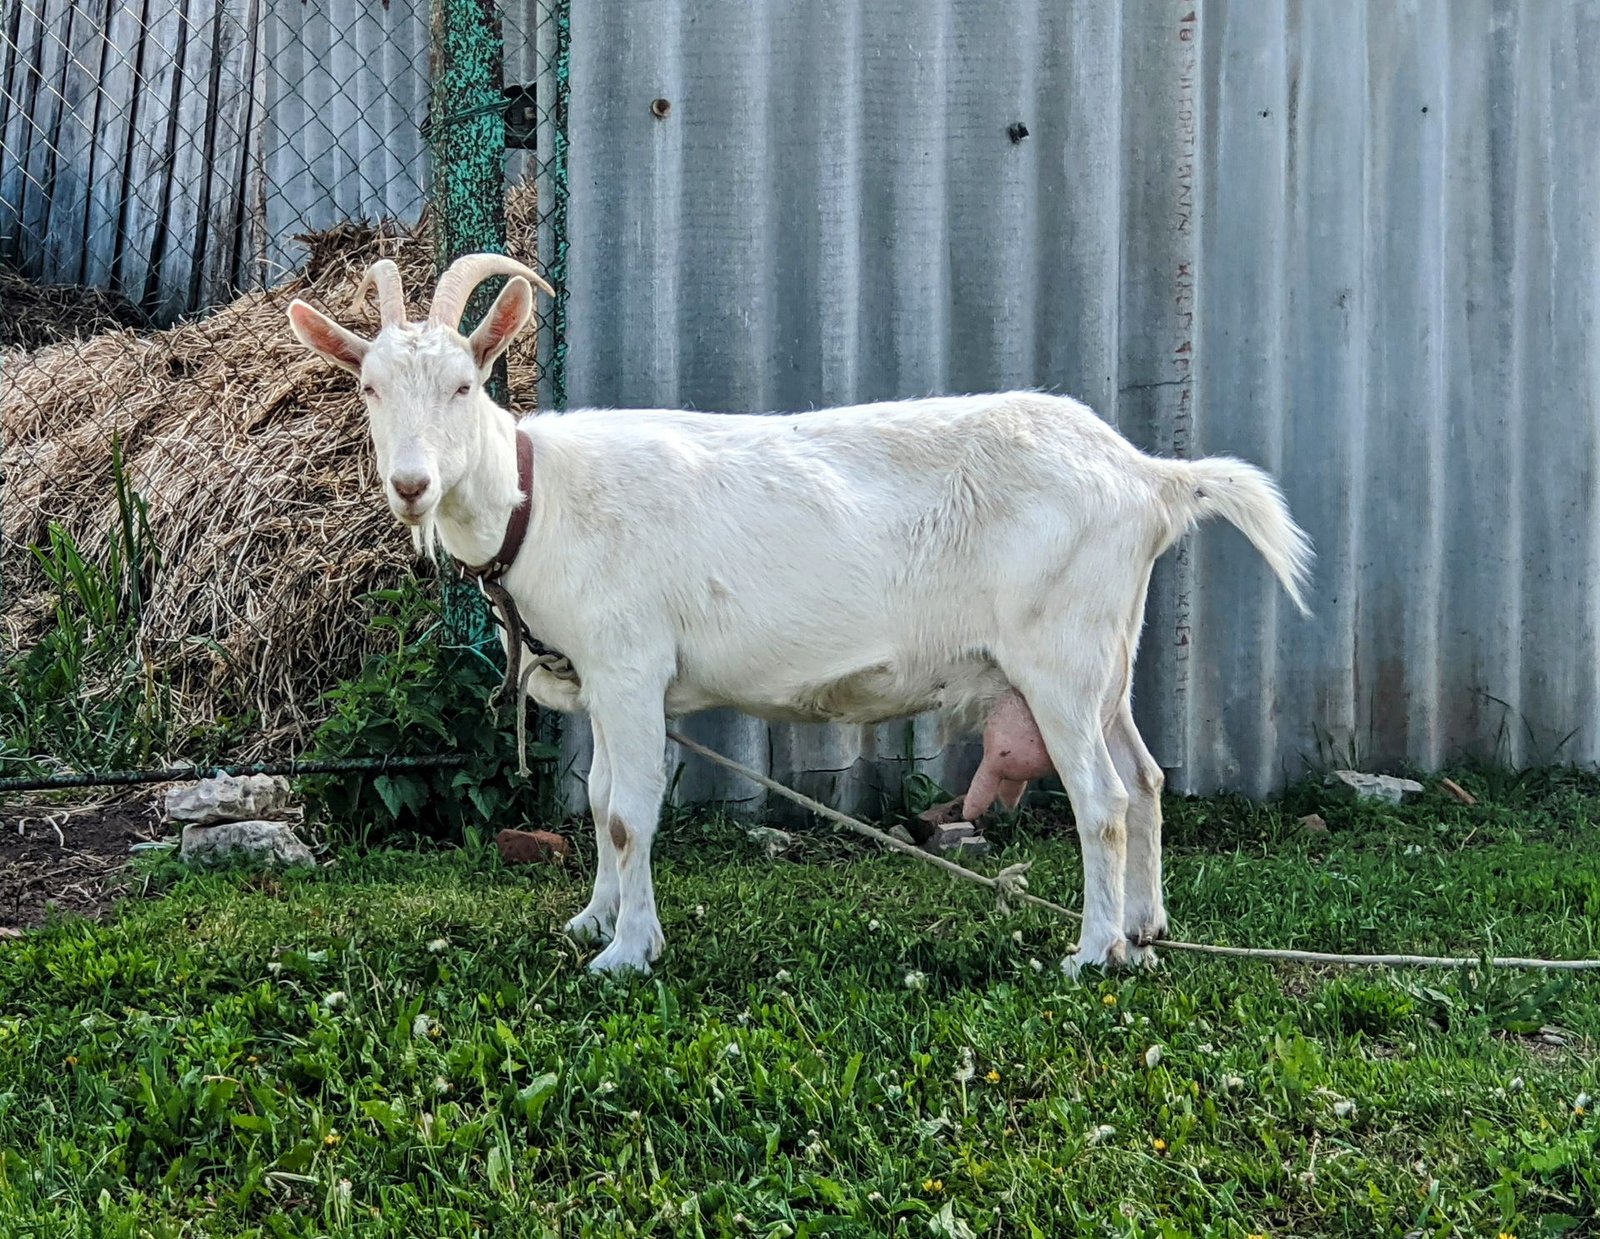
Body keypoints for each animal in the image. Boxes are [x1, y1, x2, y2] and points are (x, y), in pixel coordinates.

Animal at [288, 255, 1313, 975]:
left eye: (465, 385)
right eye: (369, 387)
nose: (411, 485)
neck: (540, 498)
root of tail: (1147, 476)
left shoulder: (630, 664)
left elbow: (627, 811)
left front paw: (626, 952)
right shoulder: (605, 676)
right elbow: (598, 796)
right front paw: (594, 916)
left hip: (1059, 657)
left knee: (1101, 798)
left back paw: (1092, 951)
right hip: (1109, 651)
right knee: (1144, 779)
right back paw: (1145, 926)